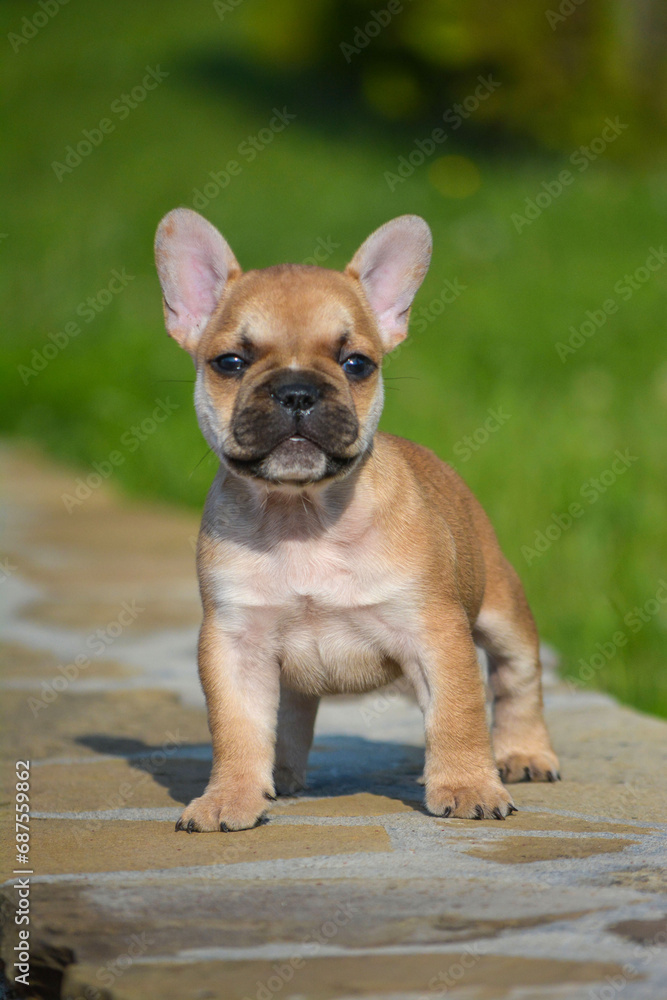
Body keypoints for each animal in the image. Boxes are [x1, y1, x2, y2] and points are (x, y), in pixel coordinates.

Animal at [154, 207, 560, 832]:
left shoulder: (435, 633)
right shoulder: (235, 643)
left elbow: (459, 714)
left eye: (356, 364)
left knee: (518, 679)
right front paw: (232, 797)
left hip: (503, 608)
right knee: (291, 716)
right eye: (230, 363)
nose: (297, 390)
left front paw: (467, 785)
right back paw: (282, 778)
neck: (302, 515)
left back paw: (523, 754)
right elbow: (238, 727)